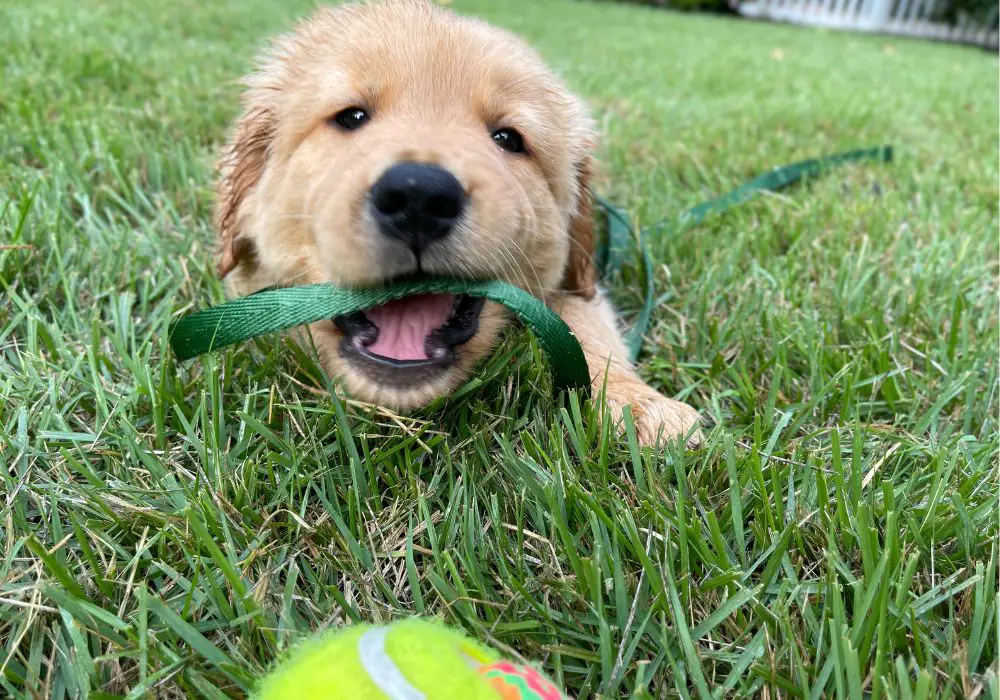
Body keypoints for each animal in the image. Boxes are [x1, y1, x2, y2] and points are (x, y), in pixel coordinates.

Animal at [217, 0, 704, 446]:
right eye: (351, 116)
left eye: (508, 139)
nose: (418, 197)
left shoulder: (578, 282)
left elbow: (587, 326)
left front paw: (639, 403)